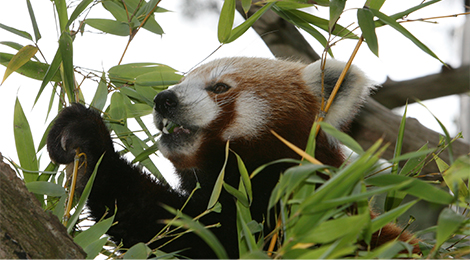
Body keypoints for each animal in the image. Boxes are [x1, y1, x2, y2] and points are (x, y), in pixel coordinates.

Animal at [46, 57, 416, 258]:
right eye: (181, 81)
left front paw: (97, 147)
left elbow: (198, 236)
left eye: (220, 87)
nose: (163, 100)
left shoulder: (298, 218)